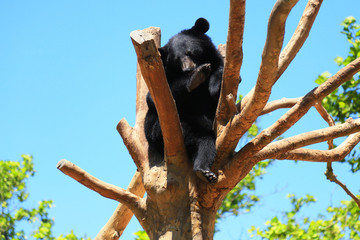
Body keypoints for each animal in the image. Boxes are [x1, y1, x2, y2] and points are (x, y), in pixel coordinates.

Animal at [143, 18, 222, 184]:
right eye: (176, 59)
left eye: (190, 52)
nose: (188, 69)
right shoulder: (163, 75)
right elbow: (153, 98)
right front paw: (196, 77)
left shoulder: (217, 61)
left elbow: (219, 79)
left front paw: (213, 86)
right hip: (158, 130)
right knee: (203, 140)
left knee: (205, 145)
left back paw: (205, 172)